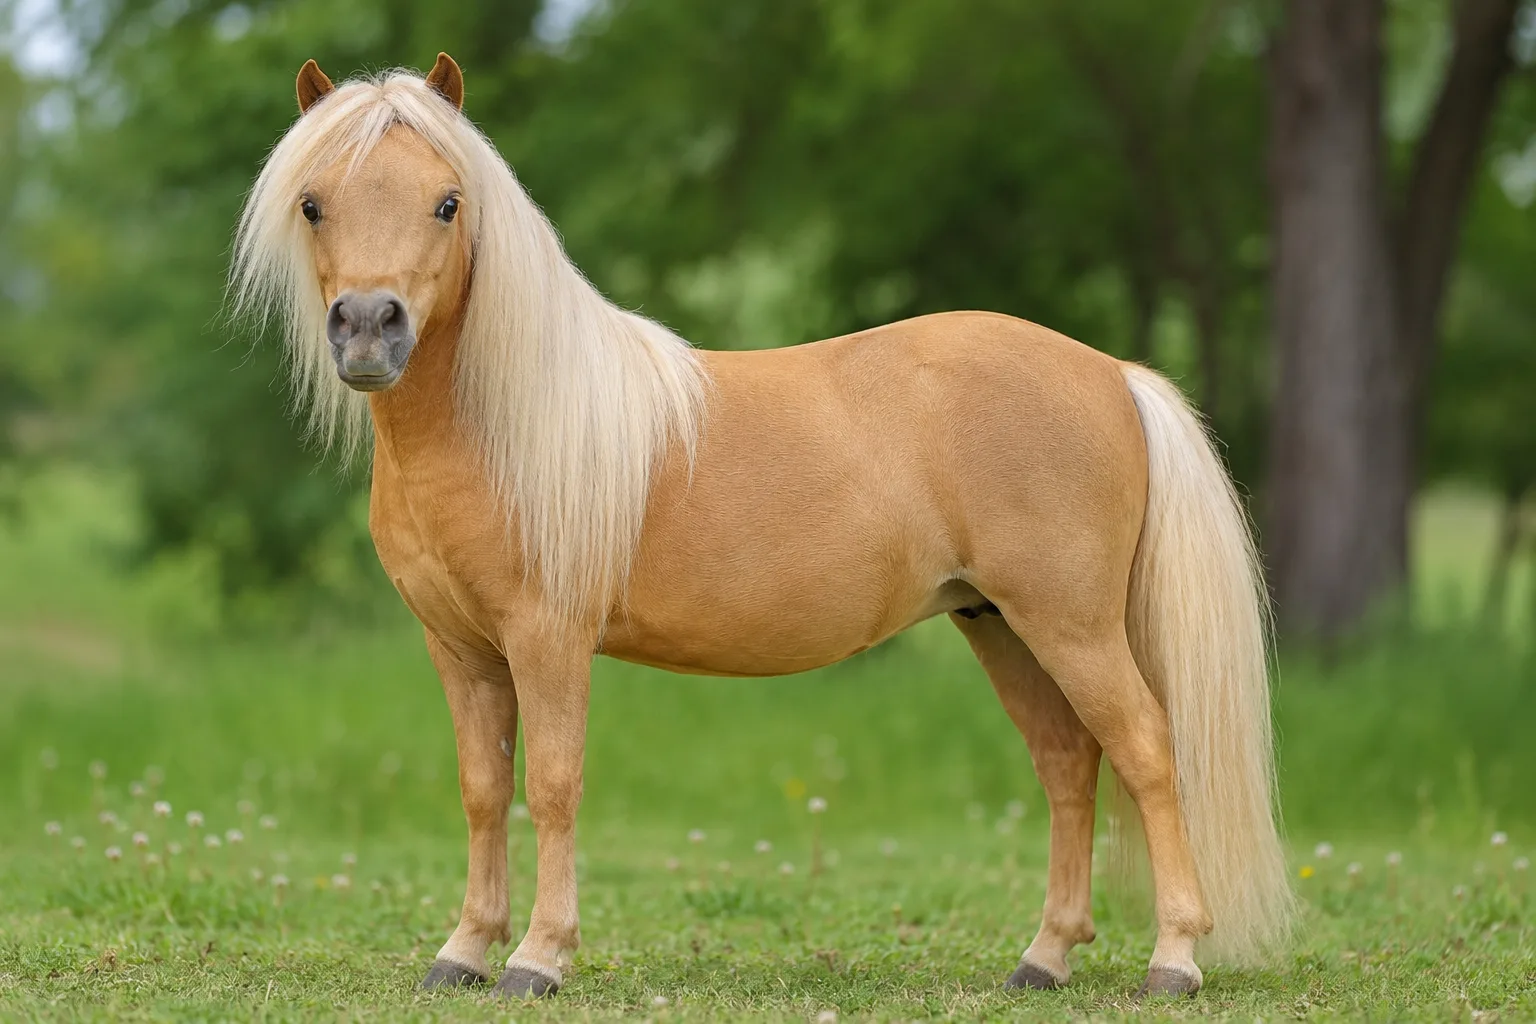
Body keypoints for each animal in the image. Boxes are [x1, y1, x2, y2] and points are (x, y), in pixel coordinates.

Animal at [231, 53, 1293, 1000]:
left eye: (448, 203)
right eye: (313, 203)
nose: (369, 329)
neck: (503, 421)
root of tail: (1113, 373)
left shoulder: (547, 638)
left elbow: (554, 786)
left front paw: (537, 960)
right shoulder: (459, 648)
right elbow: (484, 791)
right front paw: (462, 953)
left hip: (1070, 624)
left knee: (1148, 752)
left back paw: (1174, 961)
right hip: (1000, 625)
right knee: (1070, 765)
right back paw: (1044, 960)